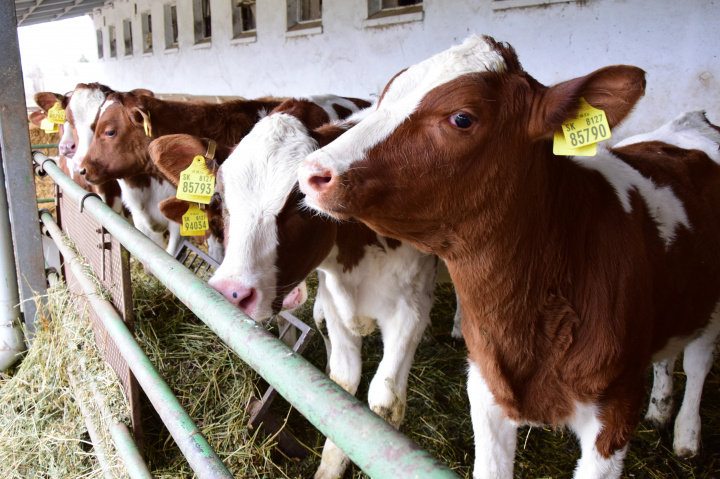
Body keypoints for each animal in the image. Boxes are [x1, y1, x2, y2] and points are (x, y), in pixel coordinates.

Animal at [300, 36, 720, 479]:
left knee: (699, 360)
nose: (311, 171)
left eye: (462, 118)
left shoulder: (616, 407)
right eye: (384, 98)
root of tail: (689, 124)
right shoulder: (484, 386)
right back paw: (660, 409)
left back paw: (687, 436)